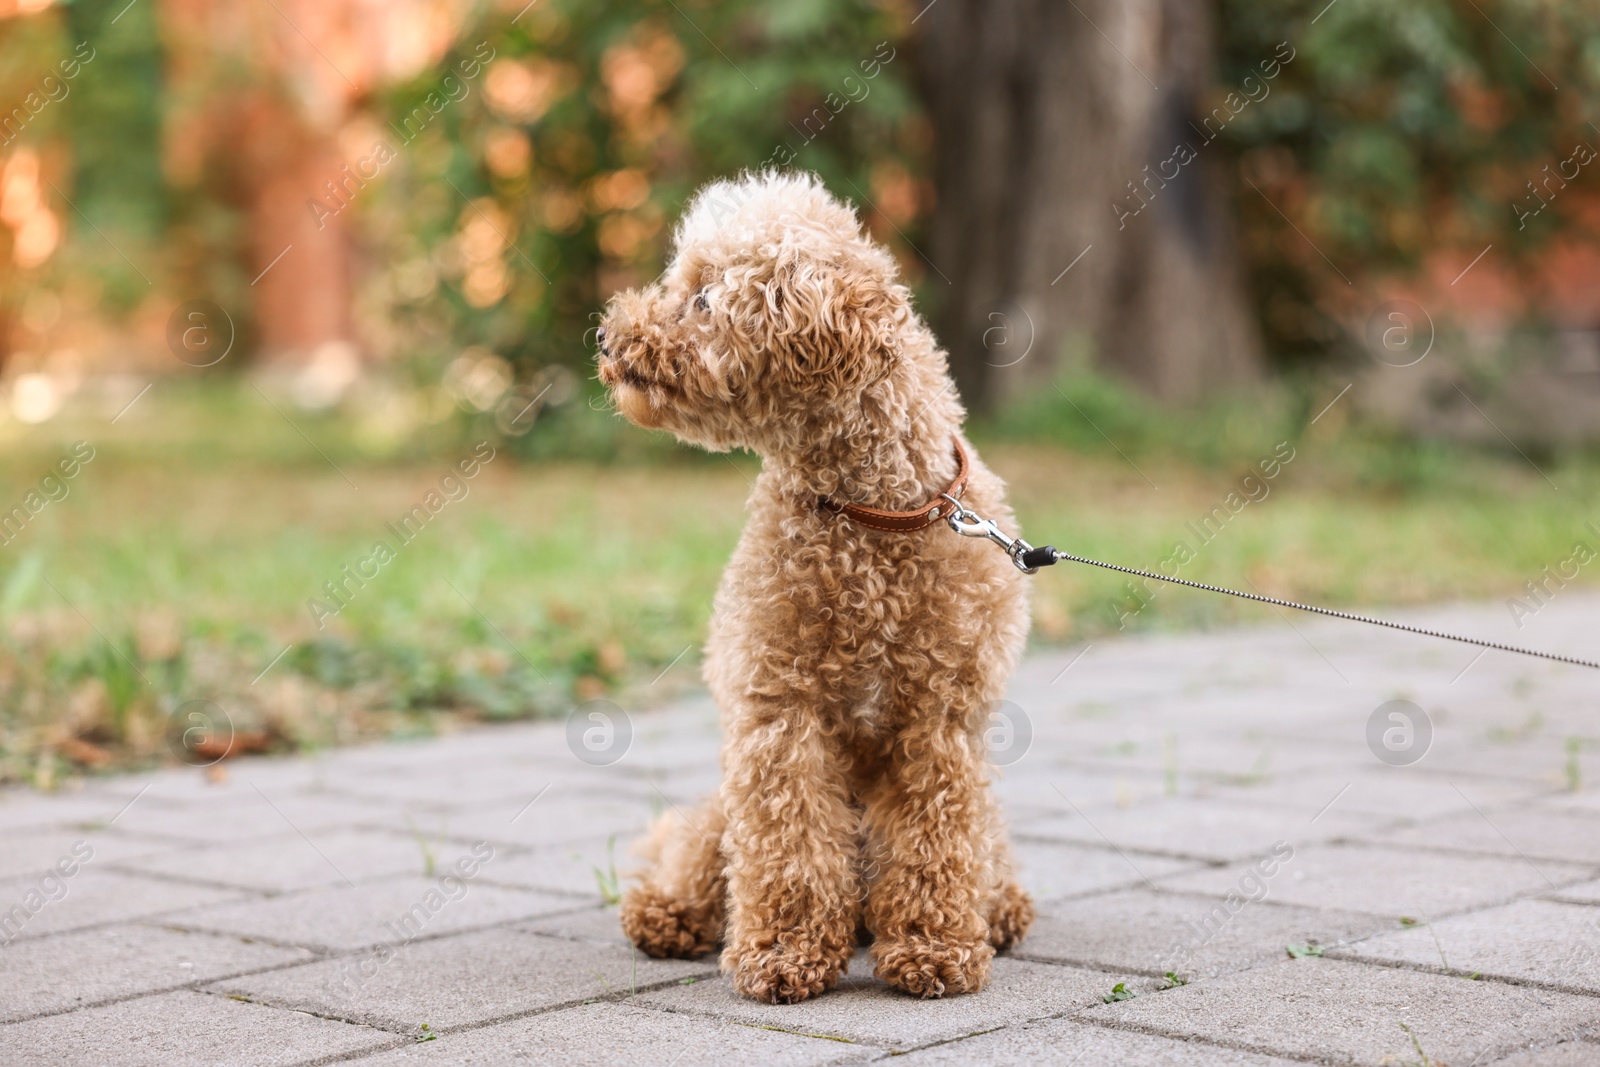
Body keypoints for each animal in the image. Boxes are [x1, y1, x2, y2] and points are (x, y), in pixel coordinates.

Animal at [601, 167, 1036, 1004]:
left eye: (704, 298)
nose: (607, 336)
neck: (874, 515)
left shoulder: (942, 719)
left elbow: (937, 838)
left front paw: (933, 946)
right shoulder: (779, 709)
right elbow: (789, 842)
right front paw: (784, 953)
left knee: (980, 856)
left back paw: (995, 910)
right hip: (719, 811)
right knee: (703, 853)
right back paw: (668, 912)